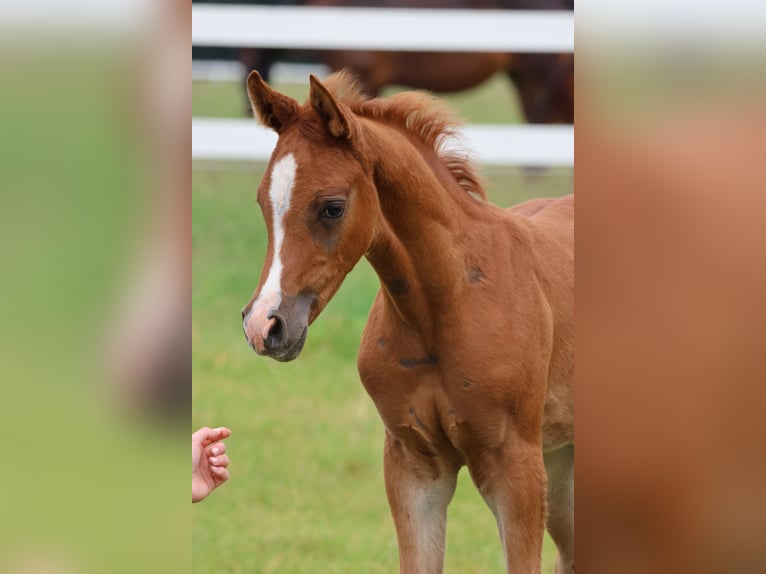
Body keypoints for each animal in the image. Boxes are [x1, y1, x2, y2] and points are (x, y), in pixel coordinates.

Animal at [243, 70, 572, 572]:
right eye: (263, 201)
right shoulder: (414, 465)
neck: (445, 307)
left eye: (332, 206)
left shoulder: (515, 466)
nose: (264, 325)